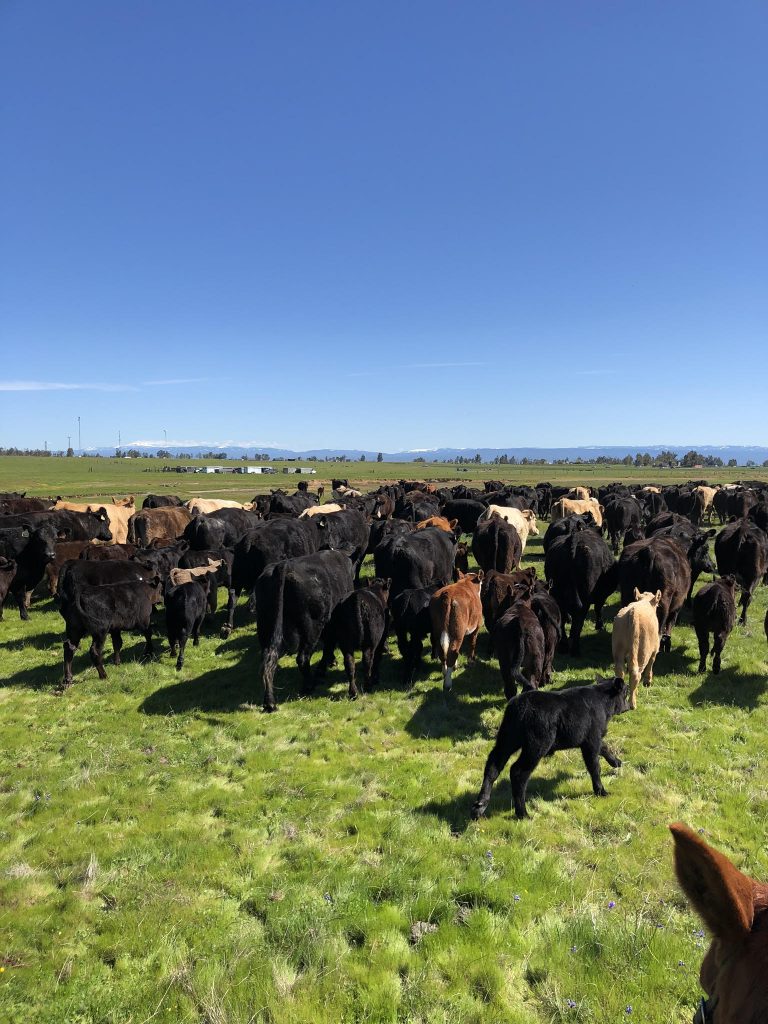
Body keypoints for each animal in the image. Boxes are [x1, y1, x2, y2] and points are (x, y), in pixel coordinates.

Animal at [252, 549, 355, 711]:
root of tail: (283, 566)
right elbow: (329, 644)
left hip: (265, 626)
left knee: (268, 659)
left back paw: (269, 703)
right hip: (311, 626)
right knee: (302, 657)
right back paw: (309, 685)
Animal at [471, 677, 628, 820]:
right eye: (626, 692)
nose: (630, 706)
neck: (602, 702)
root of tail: (520, 705)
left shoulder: (590, 739)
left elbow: (605, 748)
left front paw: (616, 762)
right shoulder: (592, 740)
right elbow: (594, 766)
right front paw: (601, 791)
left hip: (507, 738)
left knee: (493, 765)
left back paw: (479, 807)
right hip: (536, 745)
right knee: (517, 772)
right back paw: (523, 813)